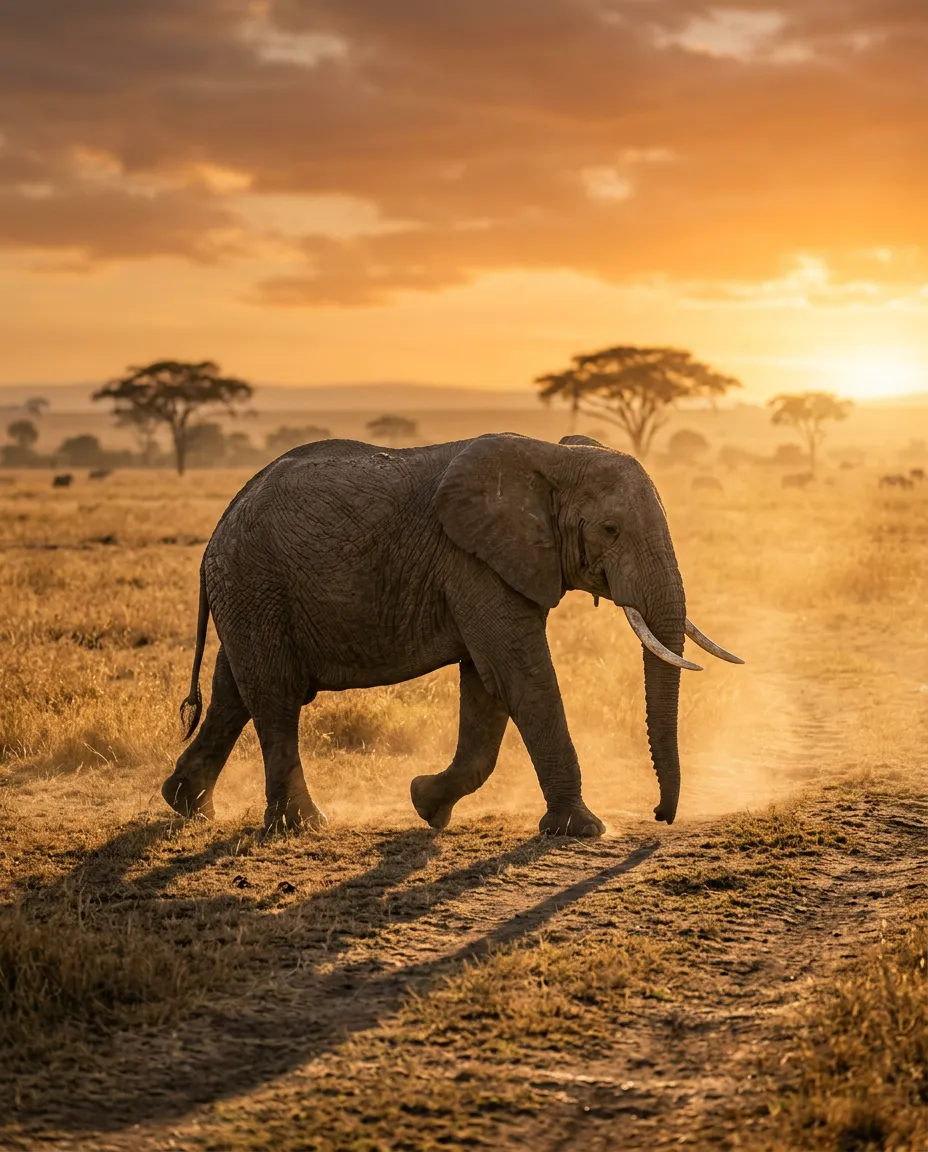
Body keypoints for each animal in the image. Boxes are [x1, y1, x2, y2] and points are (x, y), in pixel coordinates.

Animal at [161, 432, 743, 838]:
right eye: (610, 530)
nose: (660, 814)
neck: (553, 459)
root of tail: (221, 523)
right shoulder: (473, 562)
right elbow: (520, 676)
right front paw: (584, 830)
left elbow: (487, 688)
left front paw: (426, 804)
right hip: (255, 584)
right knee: (276, 697)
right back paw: (304, 825)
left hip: (250, 594)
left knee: (233, 691)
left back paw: (188, 806)